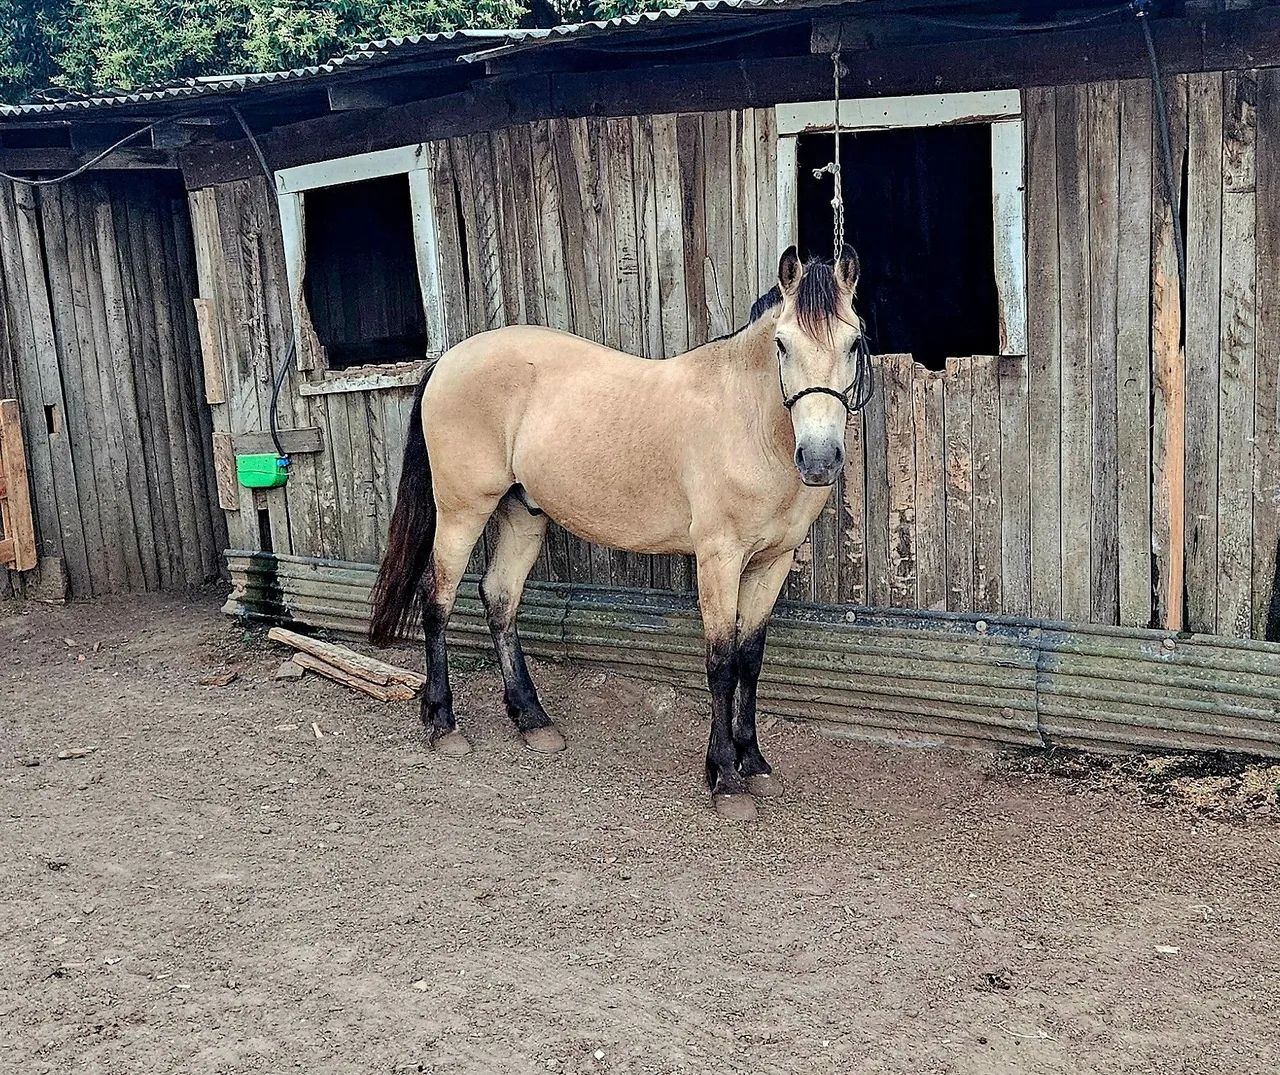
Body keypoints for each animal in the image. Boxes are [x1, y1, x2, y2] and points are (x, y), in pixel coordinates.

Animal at [369, 245, 866, 821]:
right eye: (782, 344)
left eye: (855, 342)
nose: (820, 459)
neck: (748, 423)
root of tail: (447, 360)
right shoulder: (719, 559)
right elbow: (721, 663)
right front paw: (725, 779)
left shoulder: (772, 562)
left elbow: (749, 659)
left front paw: (754, 763)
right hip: (461, 510)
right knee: (438, 600)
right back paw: (444, 724)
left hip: (524, 513)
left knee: (499, 599)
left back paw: (533, 720)